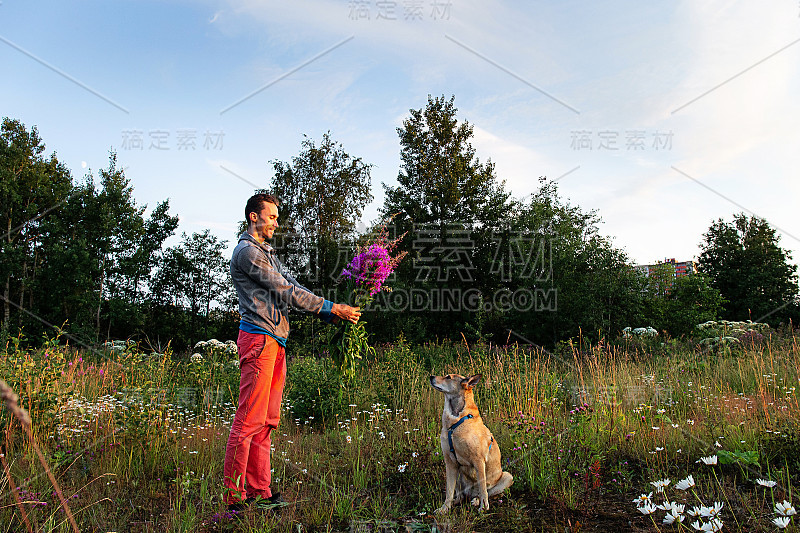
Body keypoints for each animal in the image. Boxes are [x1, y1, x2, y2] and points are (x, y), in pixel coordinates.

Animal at [432, 372, 512, 512]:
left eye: (448, 377)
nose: (431, 377)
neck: (455, 421)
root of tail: (471, 493)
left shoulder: (478, 460)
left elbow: (483, 488)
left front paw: (484, 507)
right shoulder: (450, 462)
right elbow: (449, 490)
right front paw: (444, 509)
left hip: (507, 476)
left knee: (486, 491)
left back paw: (476, 501)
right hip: (458, 475)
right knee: (460, 494)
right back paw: (457, 501)